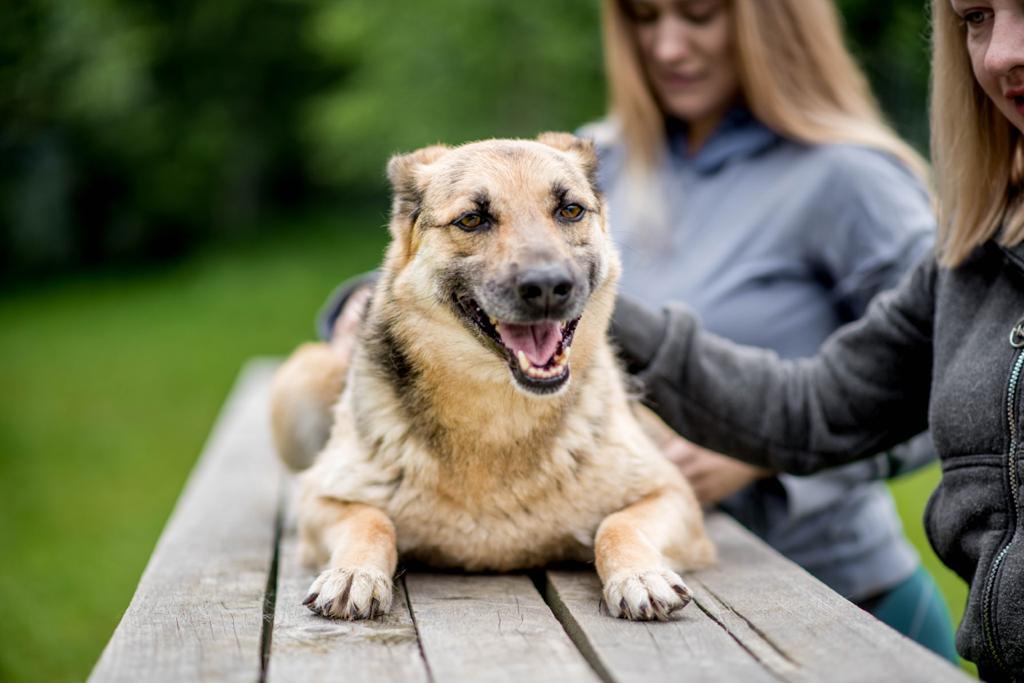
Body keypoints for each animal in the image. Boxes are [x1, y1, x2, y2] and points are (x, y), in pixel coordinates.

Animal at [268, 131, 716, 622]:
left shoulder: (672, 494)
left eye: (570, 210)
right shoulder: (323, 500)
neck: (500, 414)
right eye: (472, 219)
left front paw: (640, 575)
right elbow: (371, 519)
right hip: (300, 385)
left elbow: (617, 524)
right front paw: (353, 573)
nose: (547, 287)